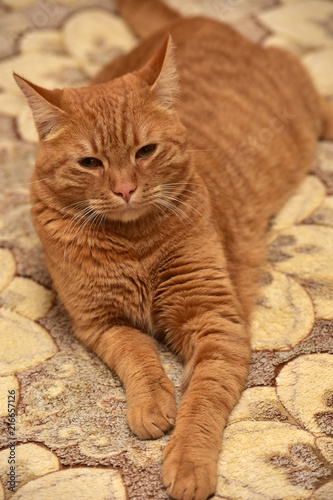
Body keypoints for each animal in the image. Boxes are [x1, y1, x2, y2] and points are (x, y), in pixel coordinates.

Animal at [14, 0, 332, 500]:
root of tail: (188, 20)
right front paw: (151, 405)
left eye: (145, 151)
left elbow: (201, 401)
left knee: (323, 105)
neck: (133, 245)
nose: (125, 189)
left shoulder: (215, 322)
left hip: (303, 100)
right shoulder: (101, 323)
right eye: (90, 162)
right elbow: (139, 356)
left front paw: (187, 461)